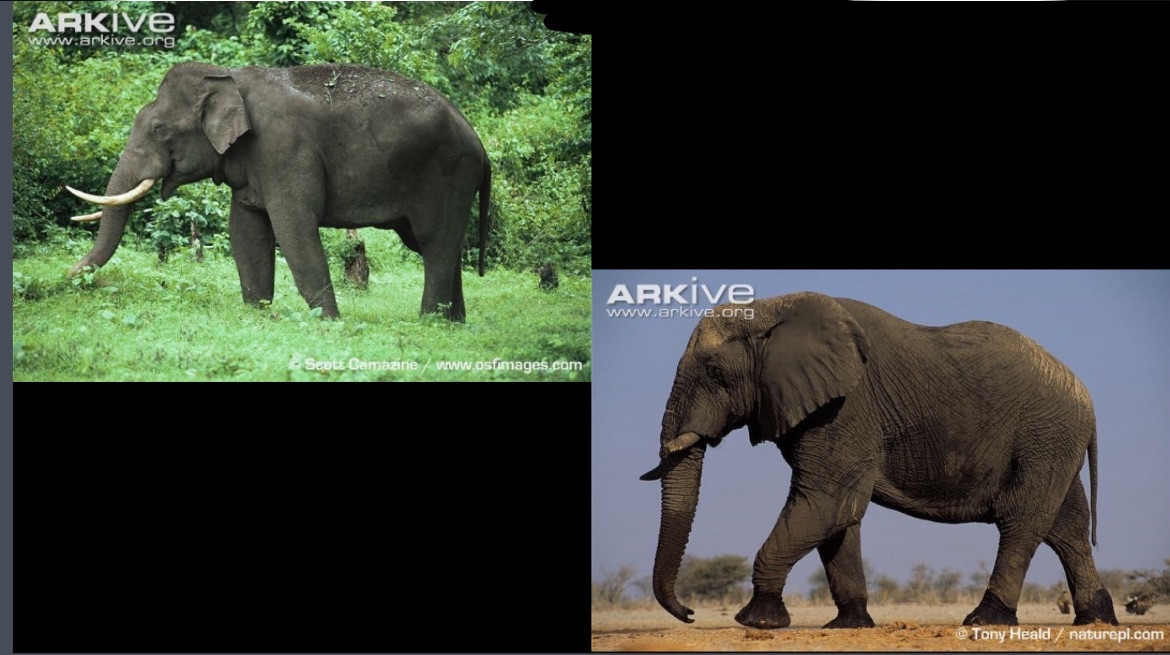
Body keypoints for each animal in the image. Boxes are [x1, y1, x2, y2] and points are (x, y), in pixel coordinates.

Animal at [64, 62, 490, 321]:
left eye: (159, 130)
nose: (66, 279)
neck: (229, 78)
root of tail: (479, 144)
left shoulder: (284, 150)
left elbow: (294, 226)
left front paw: (328, 322)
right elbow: (246, 231)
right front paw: (258, 313)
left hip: (449, 172)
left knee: (434, 243)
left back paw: (429, 321)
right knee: (440, 245)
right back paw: (454, 322)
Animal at [640, 292, 1120, 629]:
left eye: (714, 372)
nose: (690, 613)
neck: (769, 309)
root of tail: (1087, 396)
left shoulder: (846, 407)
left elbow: (825, 503)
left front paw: (758, 621)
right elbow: (839, 514)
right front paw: (848, 625)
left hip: (1044, 435)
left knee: (1022, 521)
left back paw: (986, 620)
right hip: (1053, 441)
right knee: (1067, 527)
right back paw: (1096, 620)